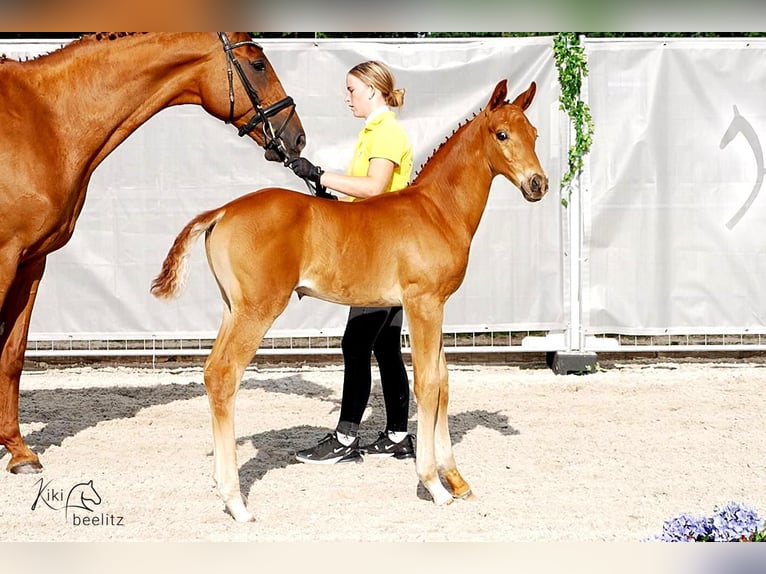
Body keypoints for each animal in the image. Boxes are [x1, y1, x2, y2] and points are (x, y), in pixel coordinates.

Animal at [0, 33, 306, 480]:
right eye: (258, 64)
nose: (296, 137)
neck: (45, 119)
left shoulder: (30, 260)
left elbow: (13, 355)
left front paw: (20, 453)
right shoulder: (5, 256)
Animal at [152, 79, 544, 524]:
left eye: (534, 134)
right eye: (502, 134)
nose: (538, 184)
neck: (437, 210)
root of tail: (222, 211)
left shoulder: (436, 306)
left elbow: (443, 382)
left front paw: (457, 480)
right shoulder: (423, 303)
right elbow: (427, 384)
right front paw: (433, 485)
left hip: (231, 309)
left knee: (211, 372)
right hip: (258, 309)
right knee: (224, 375)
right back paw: (236, 501)